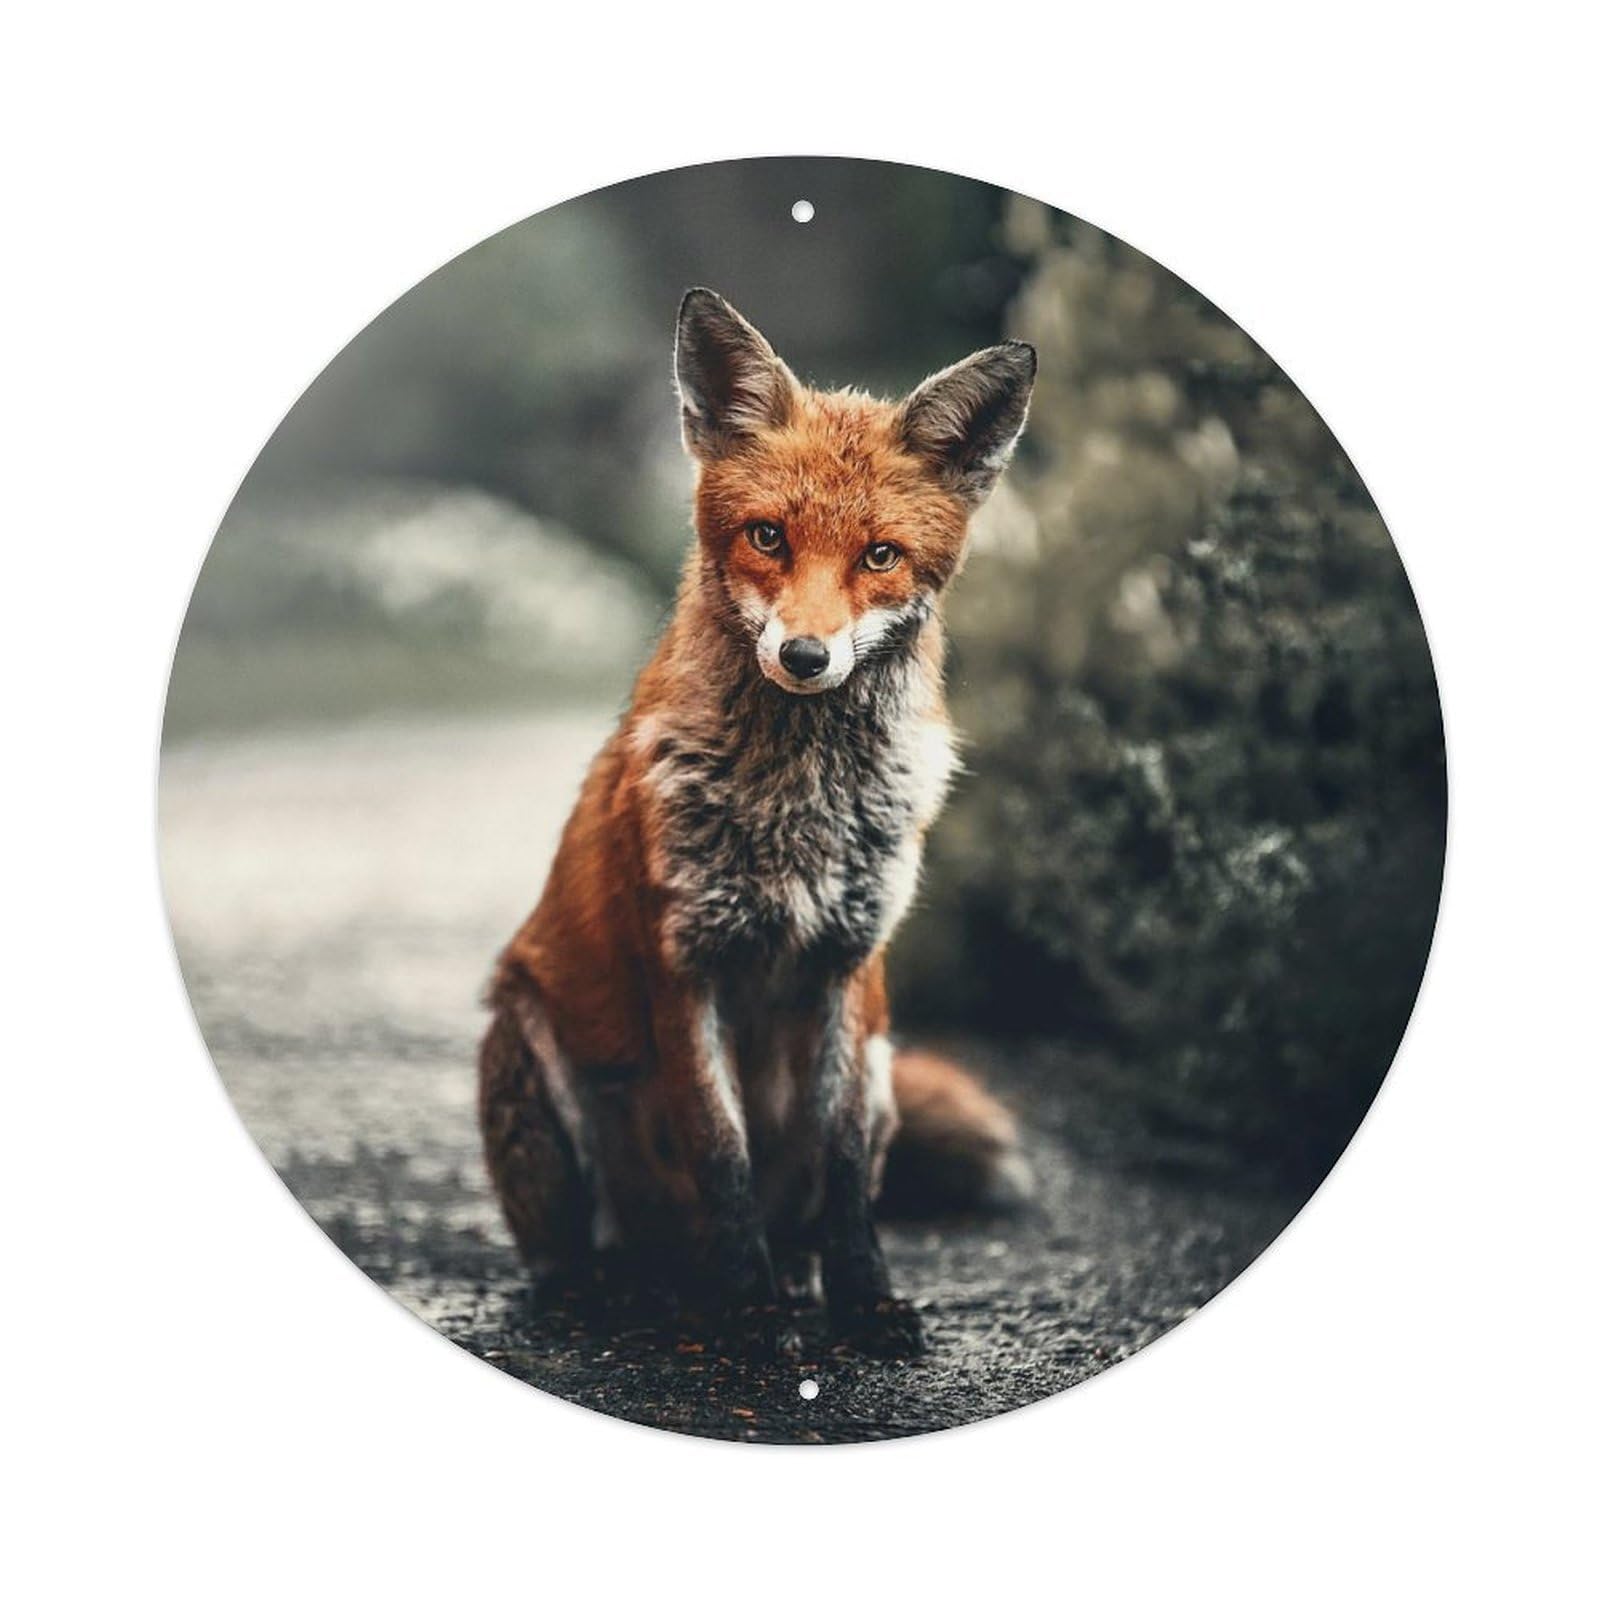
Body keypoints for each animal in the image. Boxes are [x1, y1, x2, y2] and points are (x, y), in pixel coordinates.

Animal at [479, 288, 1037, 1356]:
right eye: (769, 537)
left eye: (879, 555)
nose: (807, 656)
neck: (798, 808)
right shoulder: (683, 962)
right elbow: (721, 1152)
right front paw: (746, 1311)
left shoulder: (849, 968)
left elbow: (843, 1164)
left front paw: (864, 1300)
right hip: (529, 1047)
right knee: (580, 1254)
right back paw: (634, 1289)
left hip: (884, 1059)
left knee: (810, 1208)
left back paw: (793, 1276)